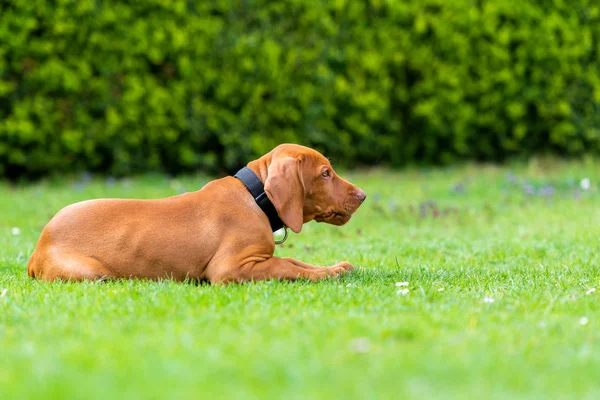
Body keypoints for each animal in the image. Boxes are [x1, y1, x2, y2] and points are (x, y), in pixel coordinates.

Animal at [27, 143, 366, 282]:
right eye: (325, 174)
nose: (363, 196)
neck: (255, 197)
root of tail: (38, 248)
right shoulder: (231, 268)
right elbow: (286, 266)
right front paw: (329, 274)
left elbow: (295, 261)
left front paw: (336, 267)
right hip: (89, 272)